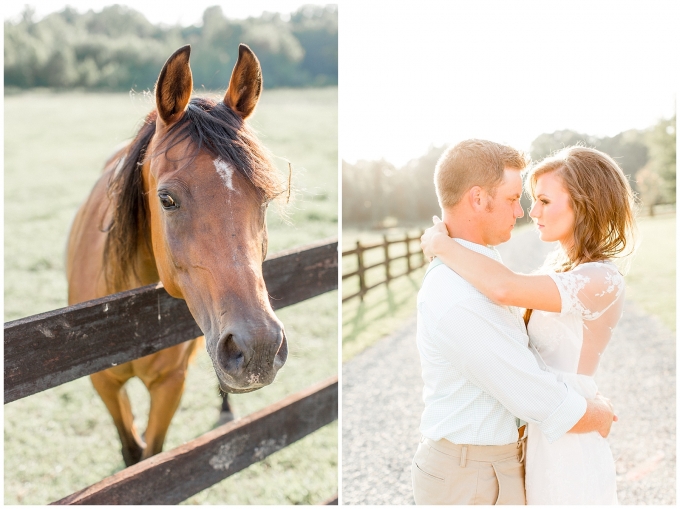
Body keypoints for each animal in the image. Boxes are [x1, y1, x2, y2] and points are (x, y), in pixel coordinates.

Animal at [65, 45, 286, 466]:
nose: (260, 347)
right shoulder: (103, 382)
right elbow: (132, 453)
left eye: (265, 199)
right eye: (166, 199)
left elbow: (153, 455)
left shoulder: (170, 384)